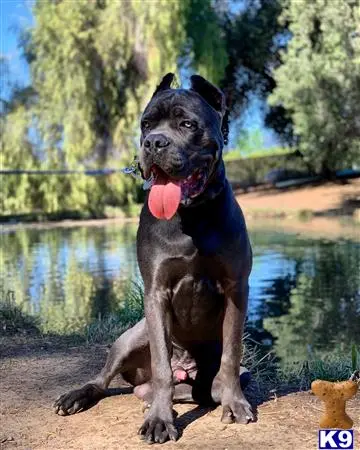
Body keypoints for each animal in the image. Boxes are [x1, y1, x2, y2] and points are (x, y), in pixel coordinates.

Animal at [54, 73, 255, 442]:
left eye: (187, 124)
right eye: (146, 125)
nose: (154, 143)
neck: (191, 216)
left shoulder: (236, 287)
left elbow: (232, 355)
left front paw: (235, 404)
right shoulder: (156, 291)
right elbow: (161, 365)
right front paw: (161, 419)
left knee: (203, 385)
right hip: (129, 337)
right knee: (105, 379)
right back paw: (82, 396)